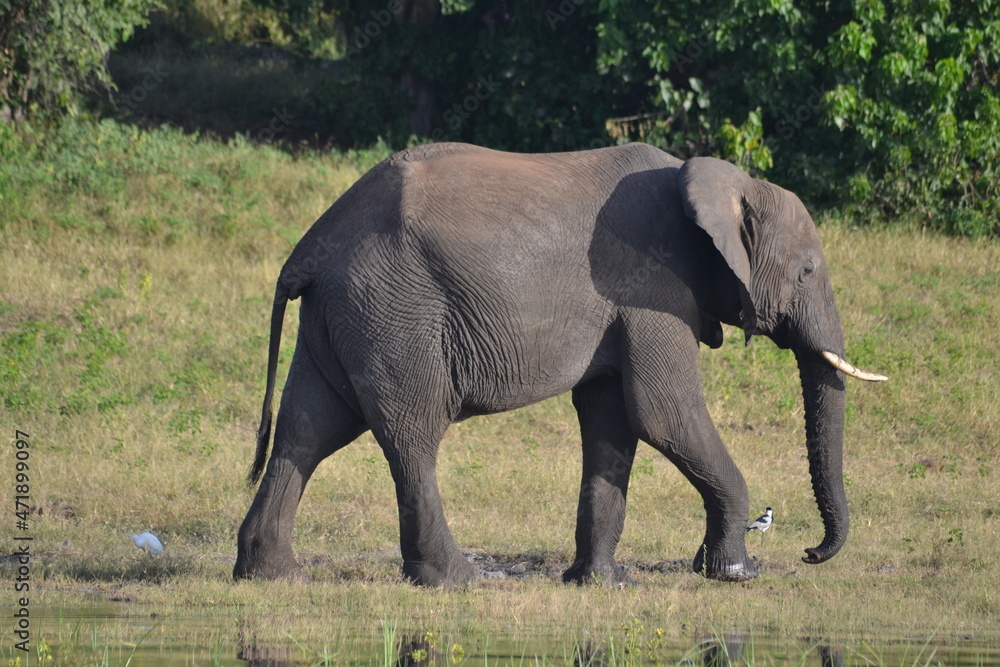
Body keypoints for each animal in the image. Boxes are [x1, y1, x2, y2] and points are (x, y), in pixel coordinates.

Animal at [233, 141, 886, 587]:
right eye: (806, 272)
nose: (809, 553)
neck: (712, 182)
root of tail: (308, 248)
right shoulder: (653, 284)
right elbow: (663, 412)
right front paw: (731, 574)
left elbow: (613, 419)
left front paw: (603, 583)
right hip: (394, 310)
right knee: (411, 433)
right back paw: (457, 581)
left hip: (344, 313)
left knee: (308, 429)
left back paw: (271, 574)